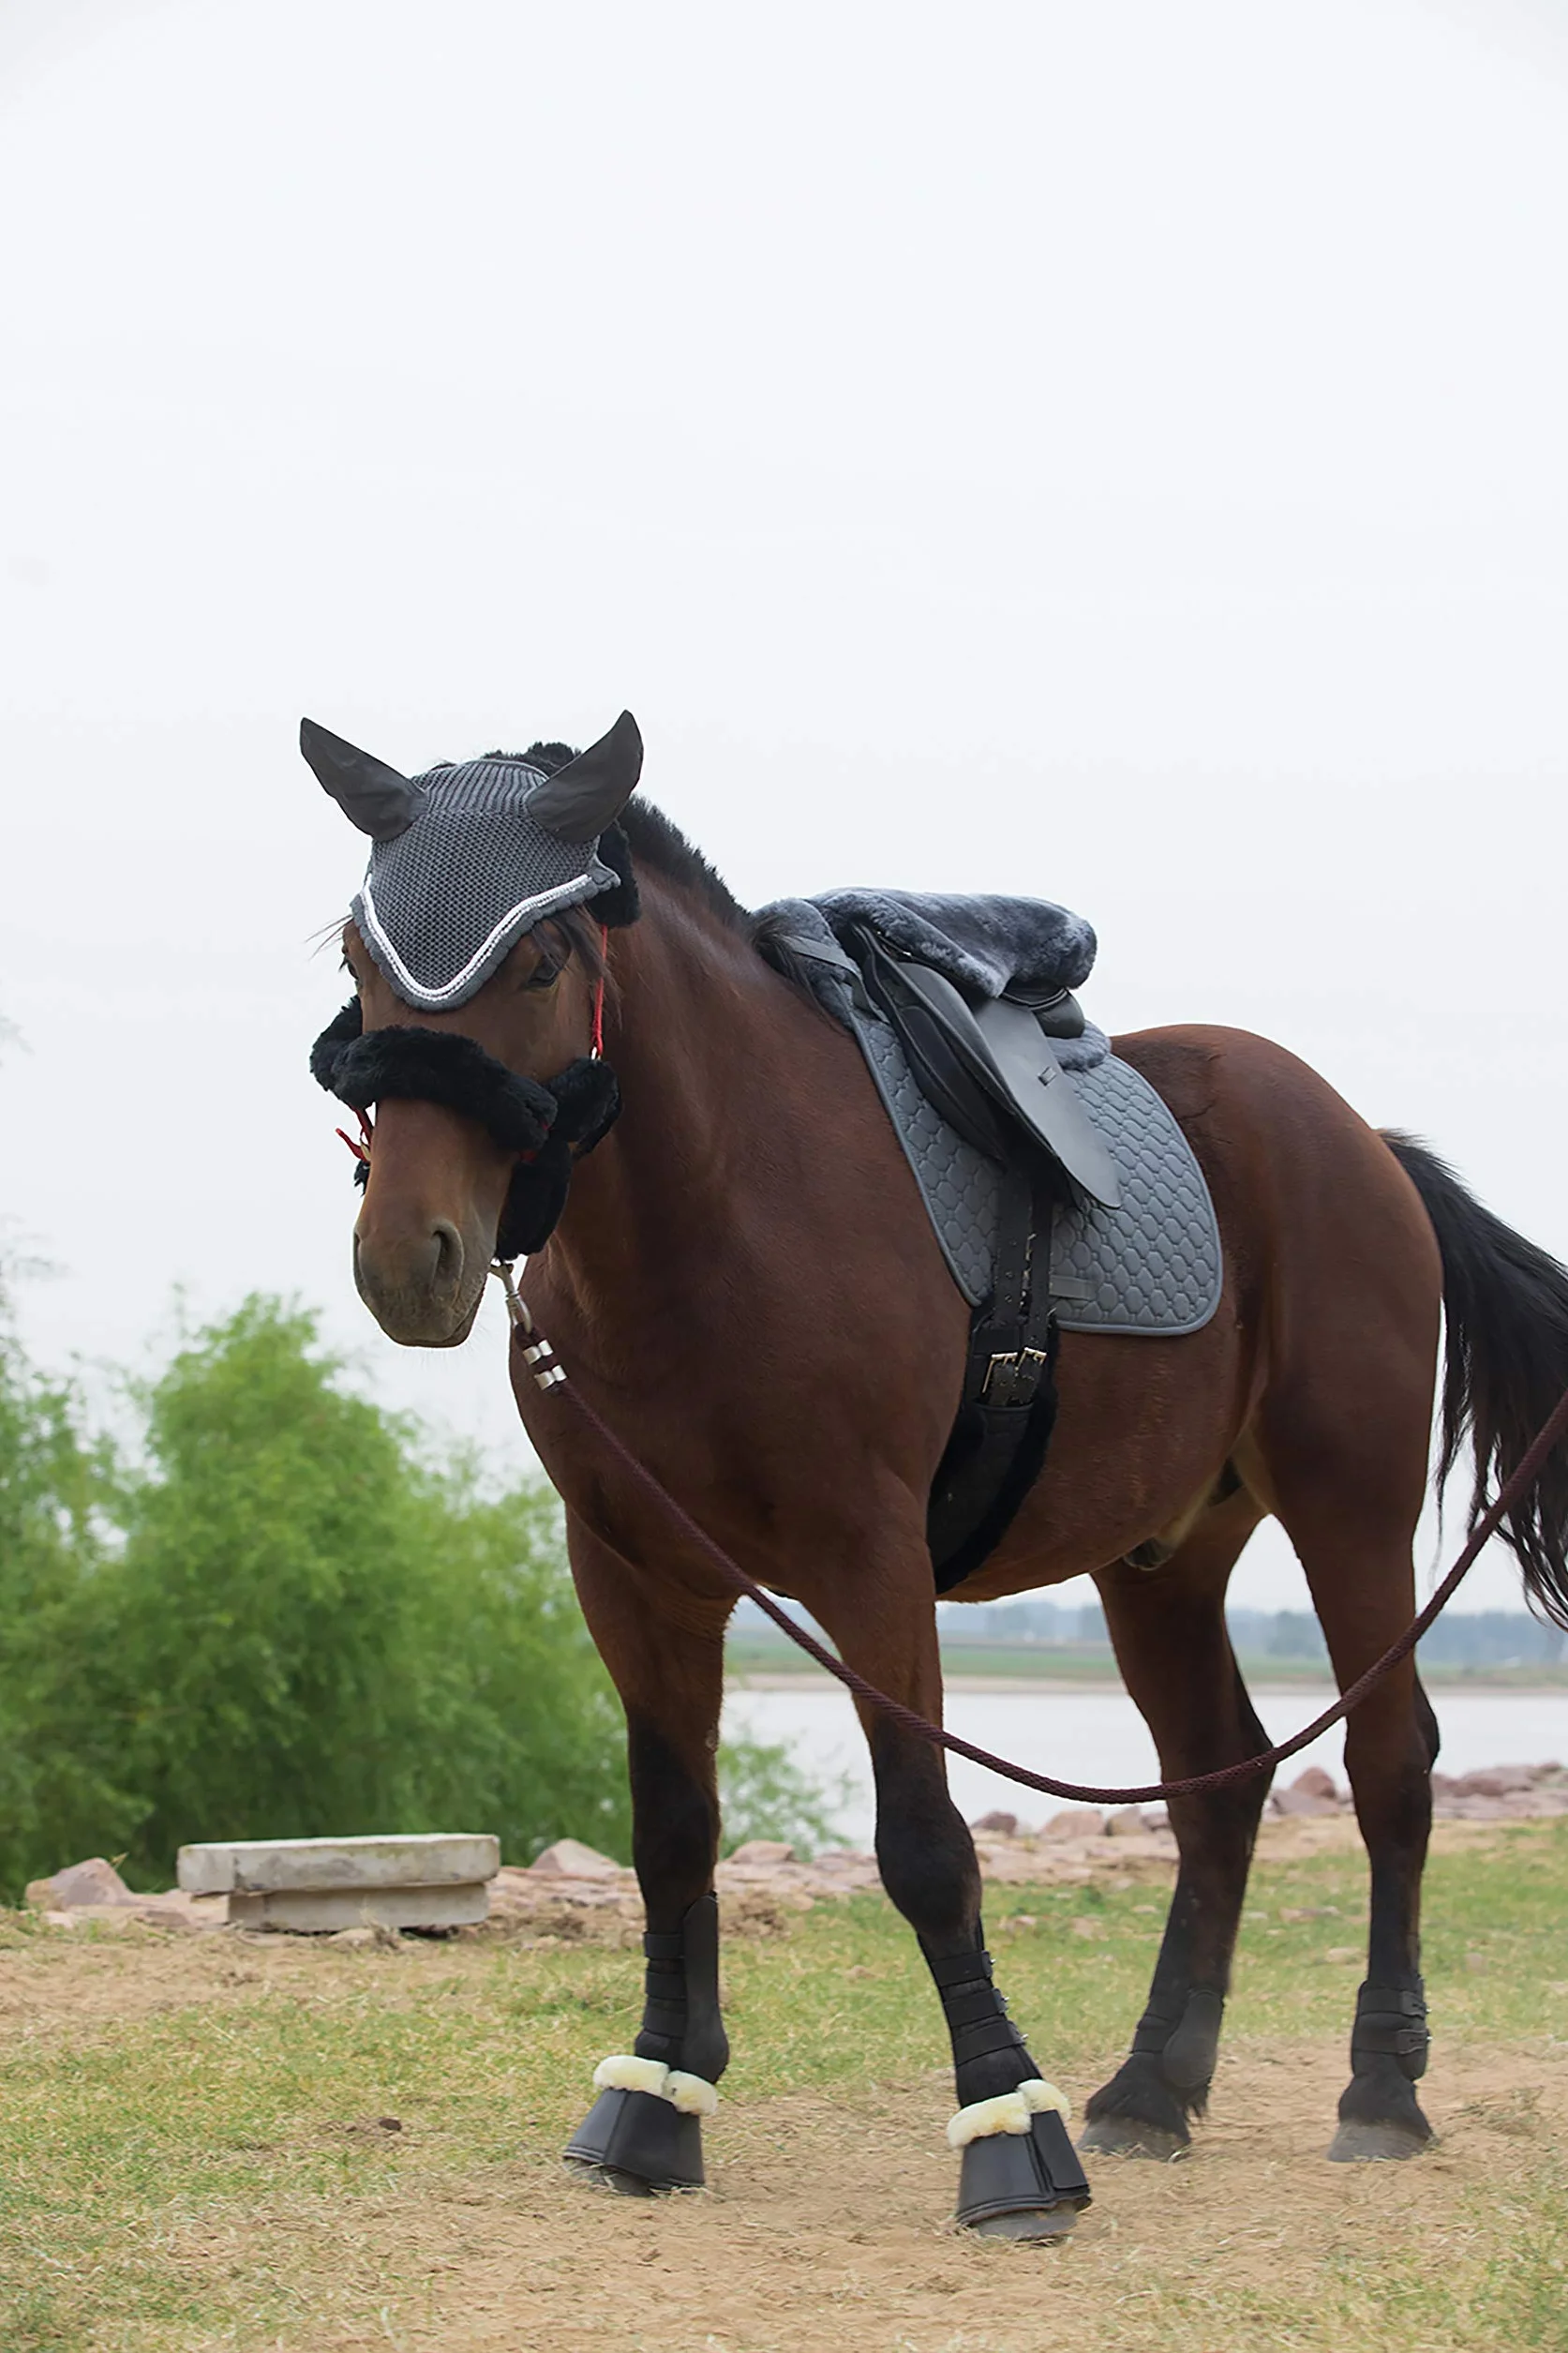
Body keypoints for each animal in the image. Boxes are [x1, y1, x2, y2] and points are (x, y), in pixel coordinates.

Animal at [305, 713, 1568, 2239]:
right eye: (359, 959)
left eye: (542, 959)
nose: (408, 1255)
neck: (723, 1205)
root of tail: (1364, 1142)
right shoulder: (632, 1570)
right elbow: (672, 1828)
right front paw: (658, 2091)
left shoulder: (868, 1560)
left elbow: (921, 1841)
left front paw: (1007, 2127)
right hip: (1159, 1560)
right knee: (1215, 1779)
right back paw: (1155, 2084)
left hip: (1350, 1513)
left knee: (1390, 1762)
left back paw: (1378, 2082)